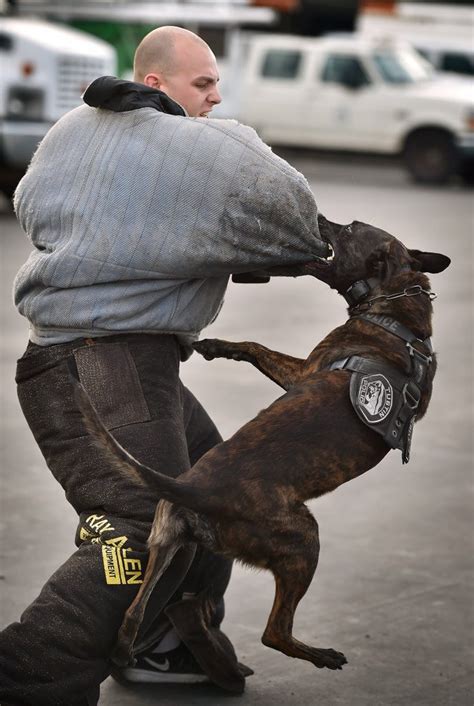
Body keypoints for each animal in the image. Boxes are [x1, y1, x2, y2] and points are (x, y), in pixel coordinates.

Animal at [80, 217, 448, 672]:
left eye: (347, 229)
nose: (321, 218)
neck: (397, 309)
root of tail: (194, 488)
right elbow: (255, 346)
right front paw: (216, 346)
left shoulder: (303, 371)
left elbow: (260, 347)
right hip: (173, 551)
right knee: (135, 617)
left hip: (299, 540)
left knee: (274, 632)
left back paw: (319, 655)